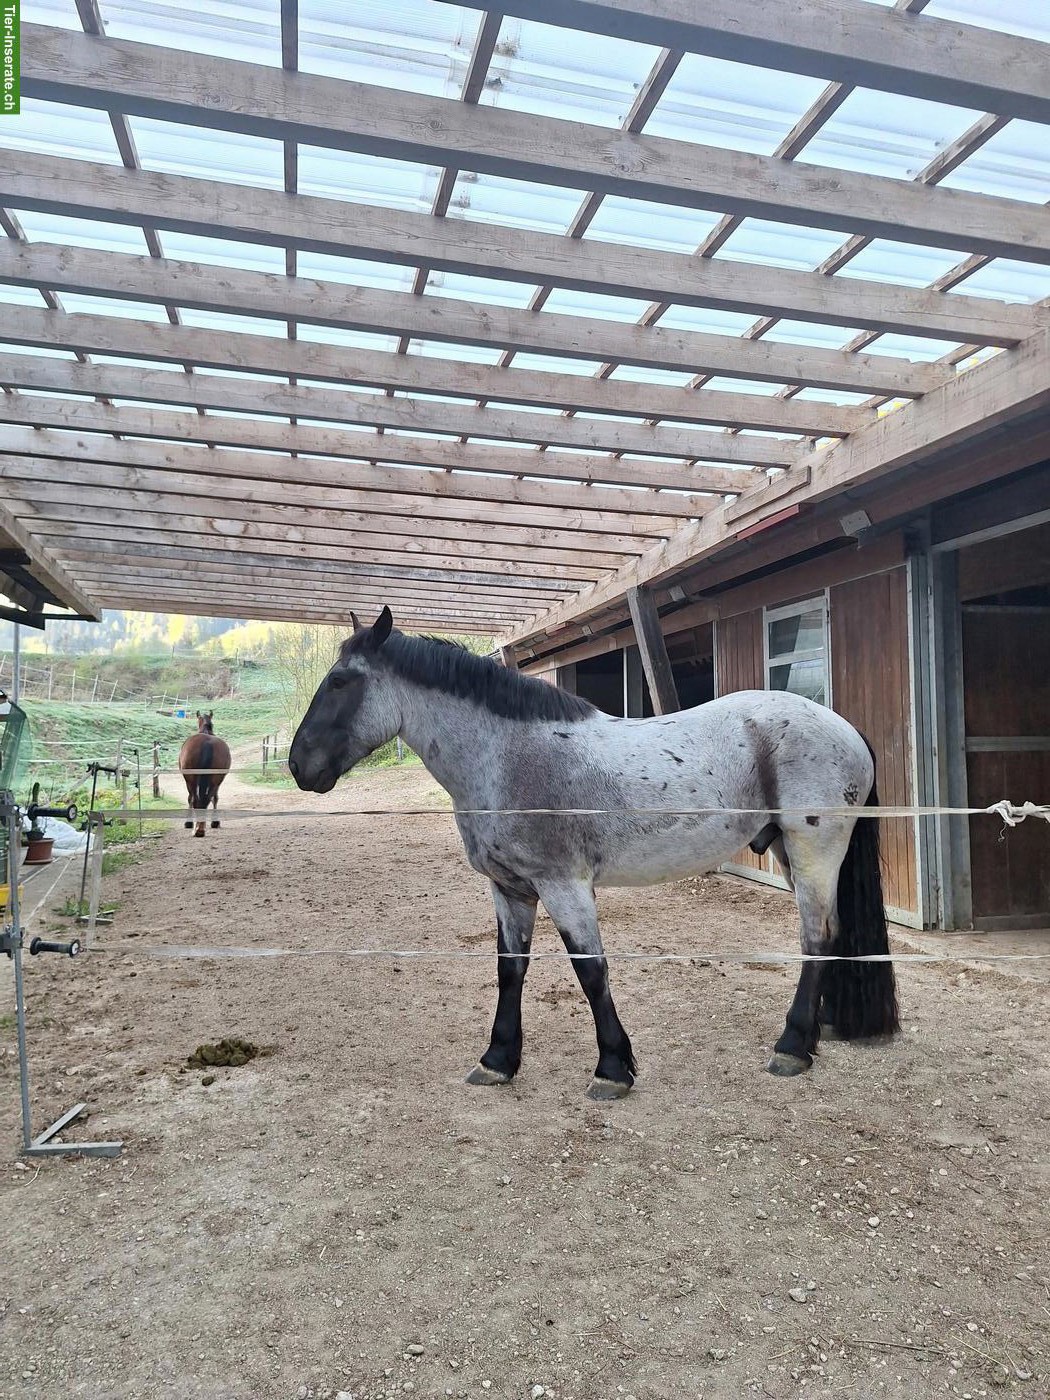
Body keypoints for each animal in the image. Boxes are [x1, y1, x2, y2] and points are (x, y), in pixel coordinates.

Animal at [178, 710, 231, 838]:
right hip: (216, 780)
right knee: (209, 798)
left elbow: (190, 798)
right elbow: (214, 798)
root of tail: (207, 743)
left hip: (192, 780)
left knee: (196, 799)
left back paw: (199, 828)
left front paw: (188, 823)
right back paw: (204, 826)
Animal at [288, 607, 899, 1099]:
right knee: (829, 935)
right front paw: (498, 1060)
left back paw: (792, 1046)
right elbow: (510, 969)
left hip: (813, 849)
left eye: (341, 680)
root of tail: (842, 726)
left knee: (817, 938)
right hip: (791, 854)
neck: (508, 757)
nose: (298, 765)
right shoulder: (510, 889)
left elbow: (591, 970)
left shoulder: (564, 886)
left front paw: (612, 1069)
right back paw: (818, 1033)